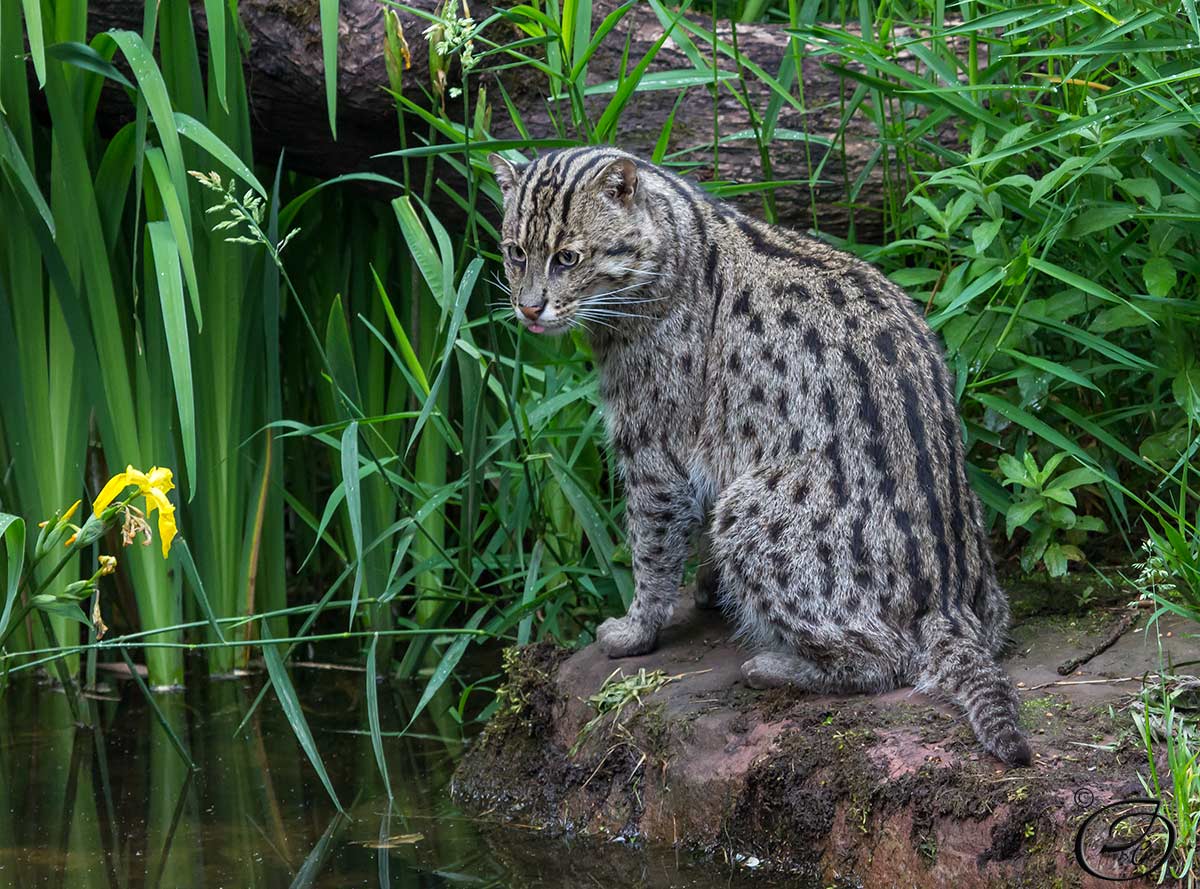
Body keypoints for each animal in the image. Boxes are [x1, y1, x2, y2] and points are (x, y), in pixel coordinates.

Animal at [487, 145, 1032, 763]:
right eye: (515, 252)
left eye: (568, 257)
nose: (529, 309)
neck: (676, 240)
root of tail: (950, 604)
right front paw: (705, 589)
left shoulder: (654, 450)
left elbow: (651, 549)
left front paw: (636, 627)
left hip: (749, 507)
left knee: (884, 659)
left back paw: (774, 665)